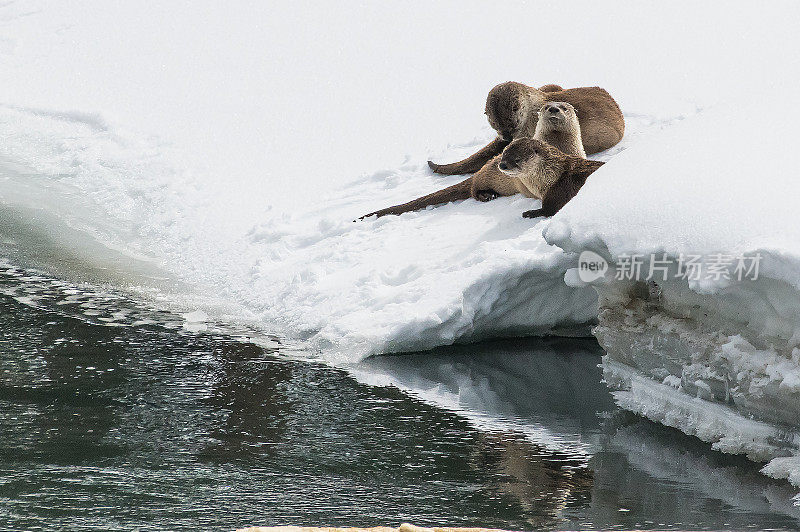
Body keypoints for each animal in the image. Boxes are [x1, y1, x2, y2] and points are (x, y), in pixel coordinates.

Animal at [360, 103, 596, 219]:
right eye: (547, 107)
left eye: (564, 107)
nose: (554, 108)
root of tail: (481, 170)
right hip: (485, 178)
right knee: (473, 189)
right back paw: (487, 195)